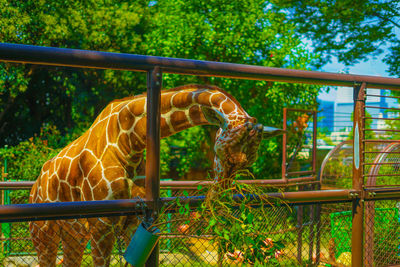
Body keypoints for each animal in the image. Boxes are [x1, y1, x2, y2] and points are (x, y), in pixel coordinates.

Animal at [28, 83, 284, 266]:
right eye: (222, 153)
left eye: (248, 164)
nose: (215, 201)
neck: (127, 142)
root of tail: (34, 188)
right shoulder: (102, 223)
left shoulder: (134, 220)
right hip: (43, 234)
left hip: (73, 233)